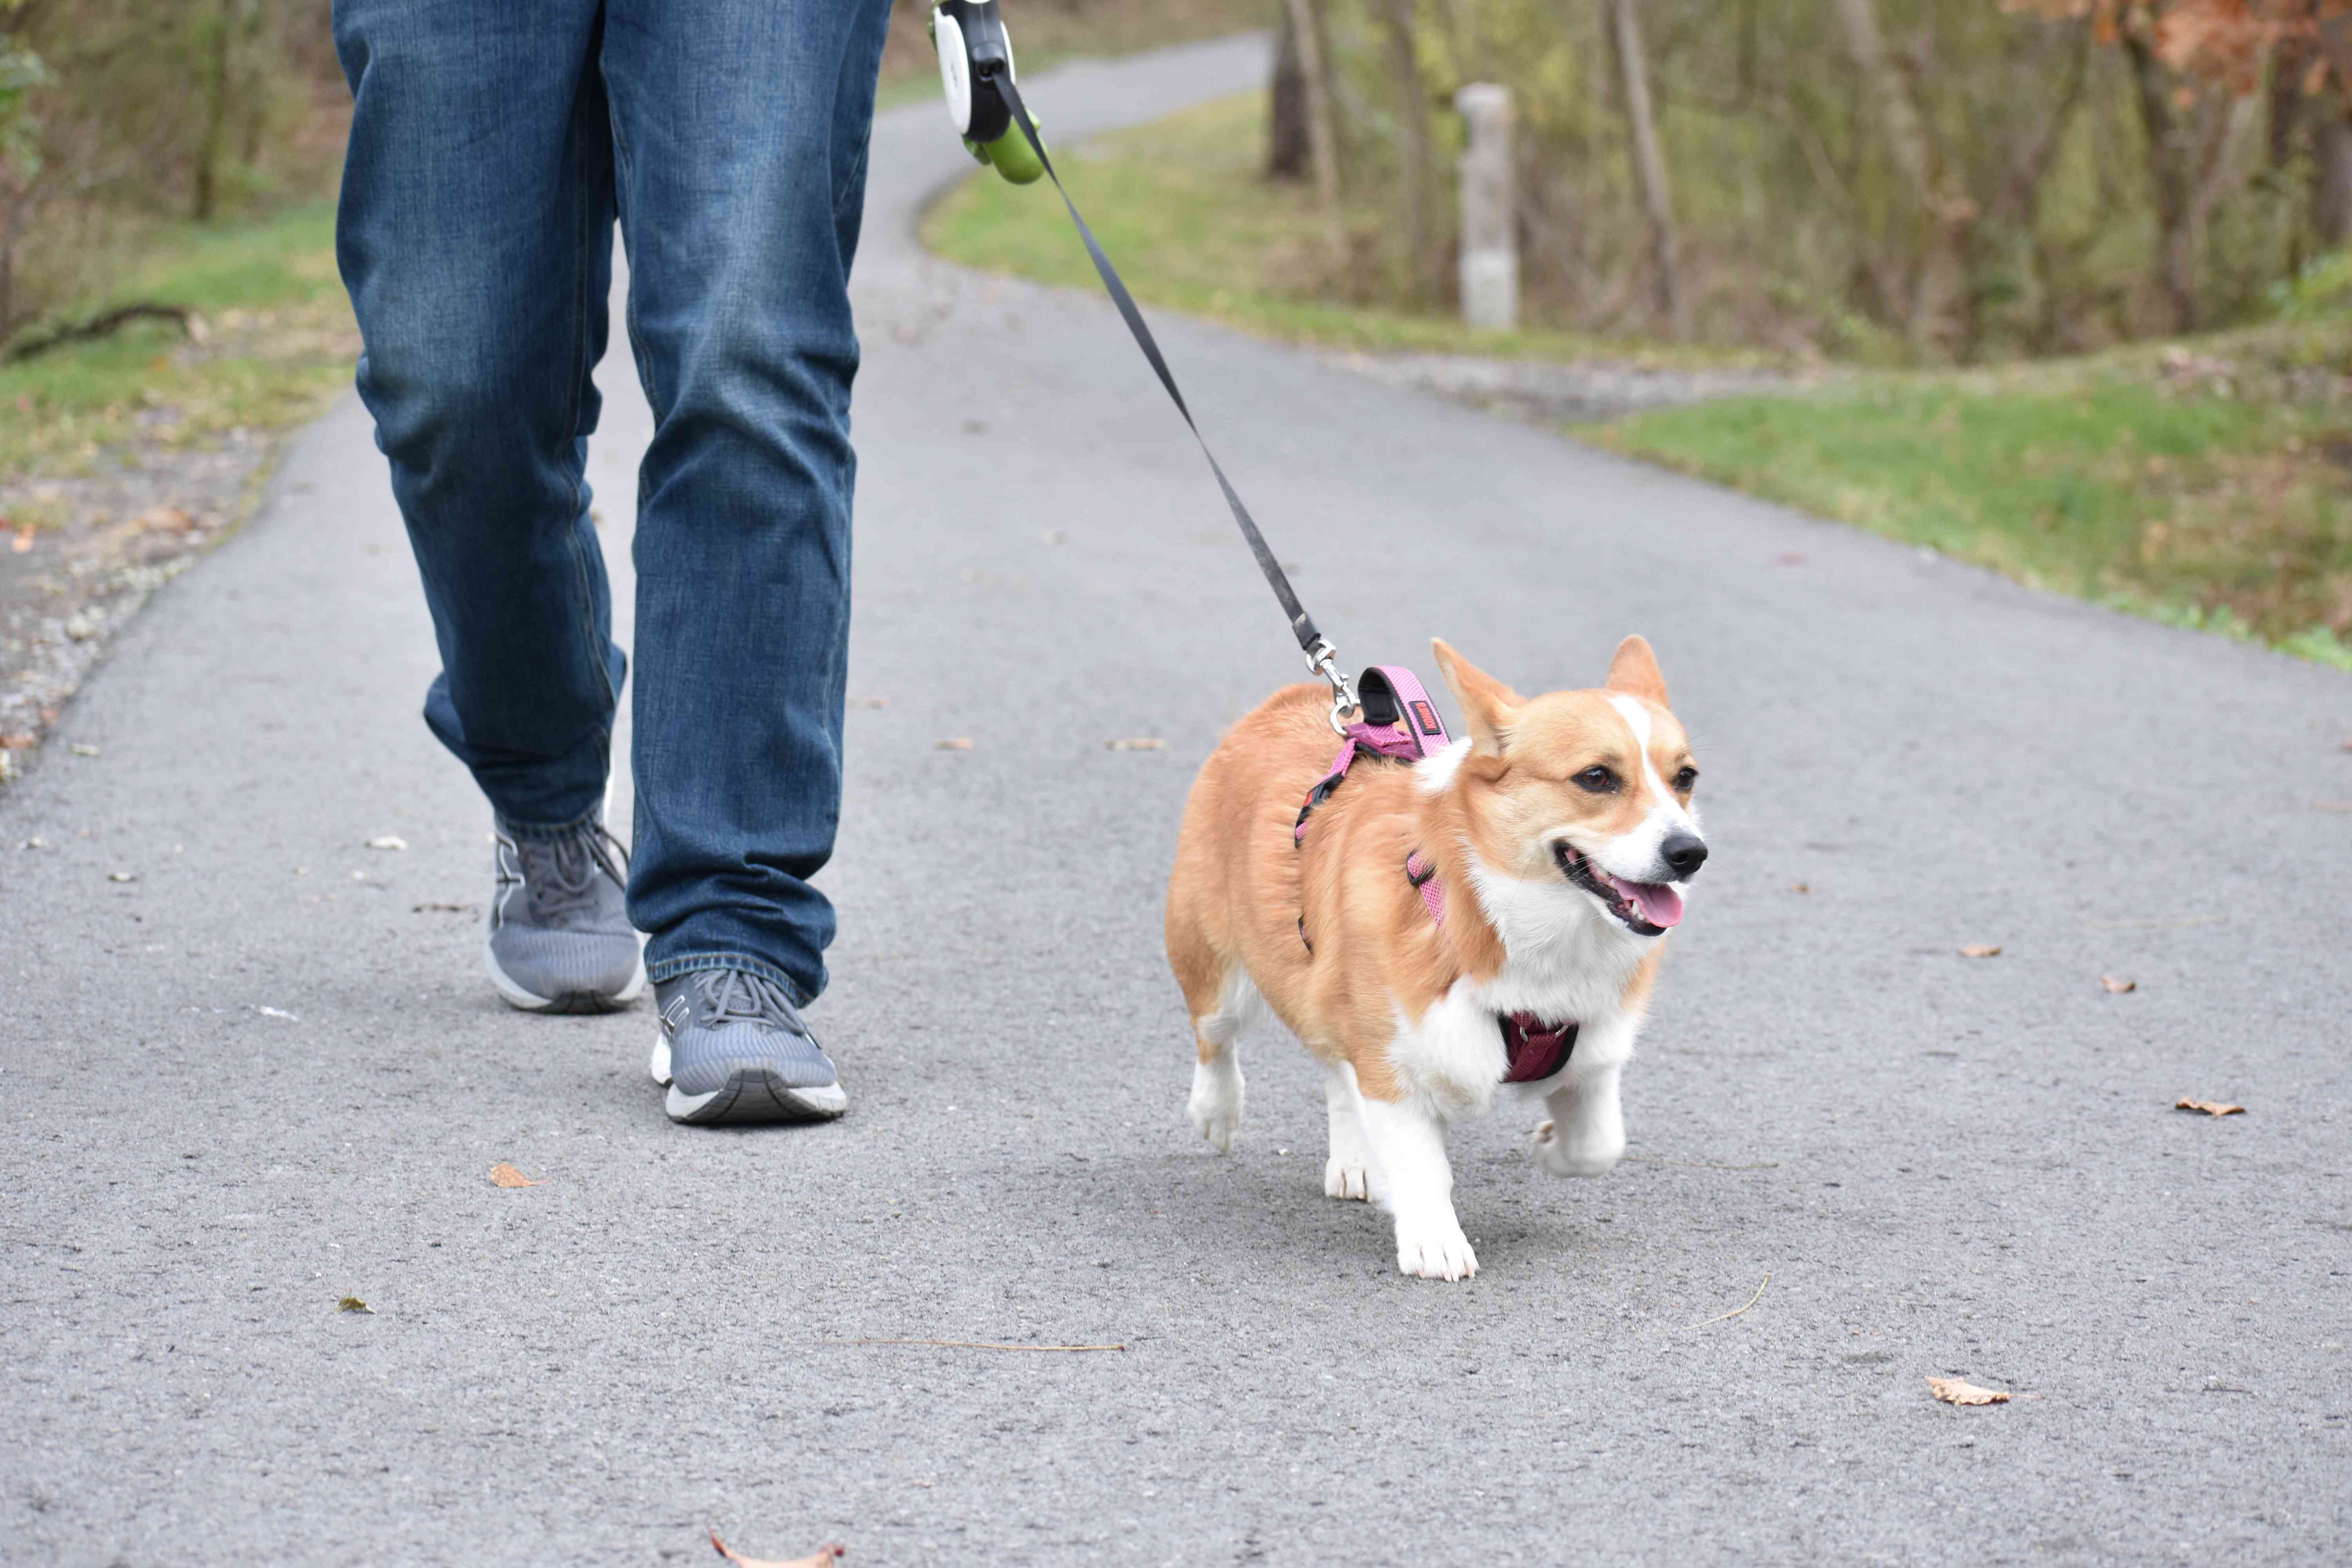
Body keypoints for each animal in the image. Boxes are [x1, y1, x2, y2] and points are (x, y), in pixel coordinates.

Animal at [1162, 635, 1703, 1279]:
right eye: (1596, 777)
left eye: (1686, 777)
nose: (1691, 853)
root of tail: (1289, 701)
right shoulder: (1395, 1065)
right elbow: (1422, 1163)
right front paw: (1435, 1242)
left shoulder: (1594, 1052)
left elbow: (1599, 1145)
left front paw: (1551, 1146)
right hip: (1216, 966)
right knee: (1215, 1038)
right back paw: (1217, 1113)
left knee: (1335, 1068)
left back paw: (1356, 1160)